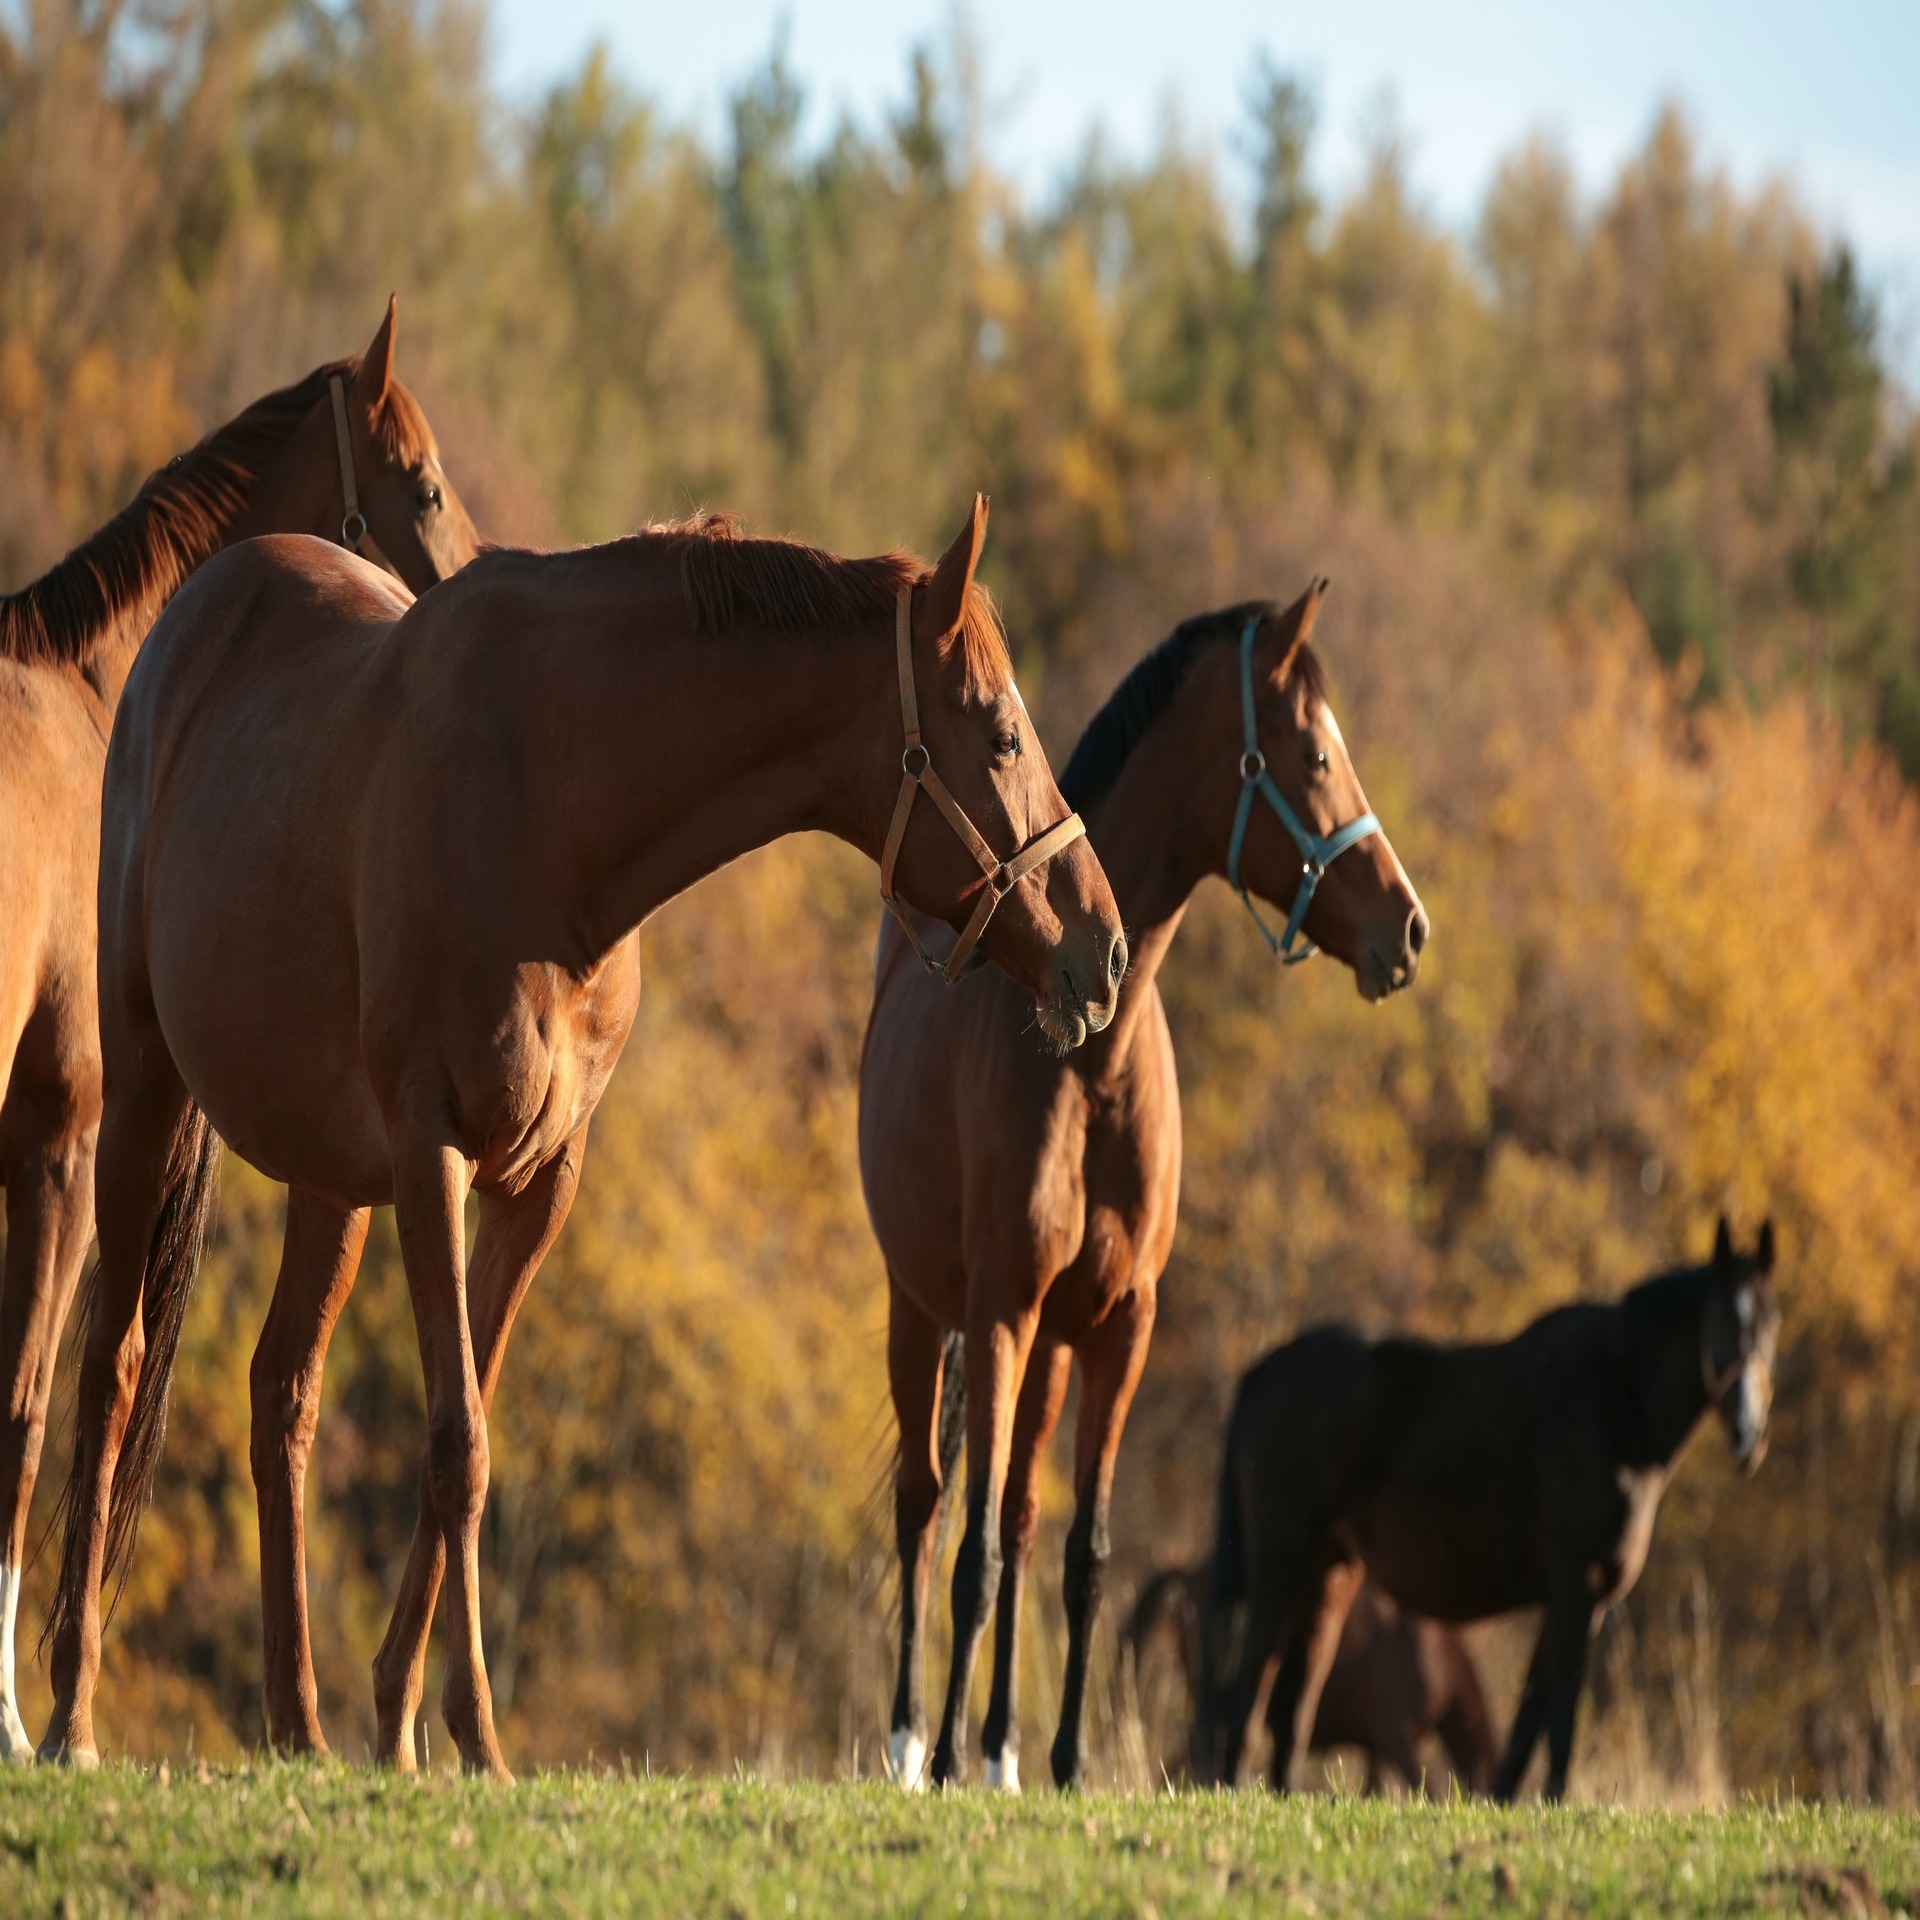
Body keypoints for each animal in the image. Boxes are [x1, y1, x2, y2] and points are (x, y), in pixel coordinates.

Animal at [41, 491, 1121, 1766]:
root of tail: (195, 615)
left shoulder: (540, 1180)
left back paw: (298, 1723)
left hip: (329, 1180)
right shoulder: (433, 1154)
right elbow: (458, 1443)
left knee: (282, 1397)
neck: (545, 806)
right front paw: (474, 1731)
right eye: (1001, 733)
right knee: (111, 1369)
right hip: (147, 1090)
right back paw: (70, 1711)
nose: (1102, 951)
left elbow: (465, 1432)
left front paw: (410, 1726)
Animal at [864, 579, 1436, 1781]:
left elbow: (1080, 1552)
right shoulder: (999, 1311)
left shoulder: (1121, 1324)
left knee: (1022, 1513)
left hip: (1051, 1351)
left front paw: (1057, 1763)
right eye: (1315, 754)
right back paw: (910, 1743)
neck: (1087, 1067)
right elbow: (973, 1556)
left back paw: (1000, 1751)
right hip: (924, 1313)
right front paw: (943, 1765)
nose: (1408, 927)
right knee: (928, 1508)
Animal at [1198, 1213, 1781, 1797]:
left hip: (1328, 1574)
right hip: (1280, 1566)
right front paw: (1555, 1799)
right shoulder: (1578, 1587)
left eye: (1772, 1324)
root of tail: (1263, 1371)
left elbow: (1528, 1722)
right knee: (1247, 1690)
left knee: (1293, 1701)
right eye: (1722, 1322)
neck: (1614, 1405)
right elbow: (1561, 1716)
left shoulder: (1572, 1599)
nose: (1749, 1435)